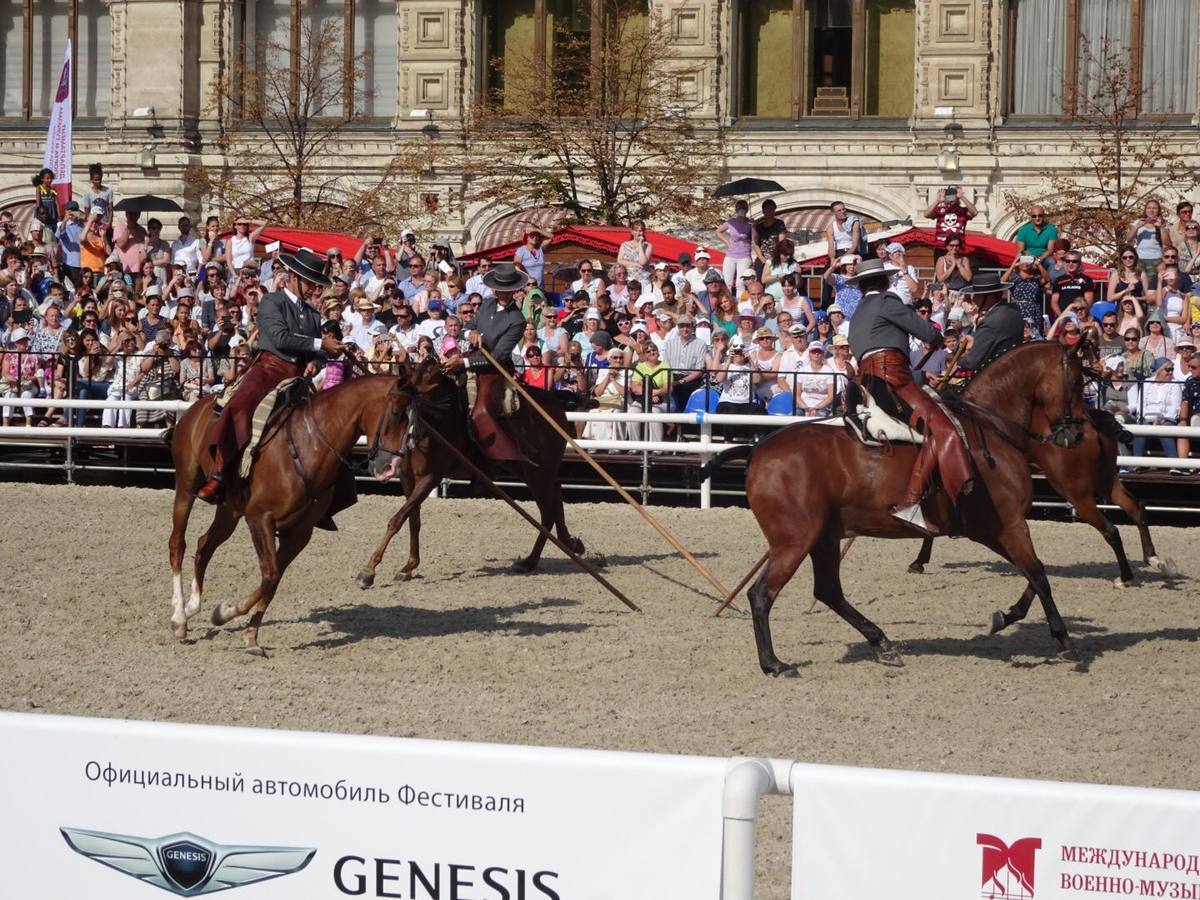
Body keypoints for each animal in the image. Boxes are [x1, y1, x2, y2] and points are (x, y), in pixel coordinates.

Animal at [166, 374, 412, 657]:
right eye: (395, 412)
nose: (391, 467)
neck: (309, 446)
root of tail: (197, 408)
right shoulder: (259, 518)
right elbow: (270, 575)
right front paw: (225, 613)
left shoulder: (299, 533)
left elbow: (272, 581)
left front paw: (248, 634)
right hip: (186, 486)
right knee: (178, 544)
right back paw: (179, 618)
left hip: (229, 509)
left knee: (204, 545)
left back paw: (192, 606)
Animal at [350, 360, 585, 592]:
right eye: (383, 408)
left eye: (398, 411)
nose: (382, 464)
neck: (435, 421)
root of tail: (557, 406)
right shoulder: (408, 478)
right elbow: (412, 519)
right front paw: (409, 566)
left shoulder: (430, 477)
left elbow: (397, 519)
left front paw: (368, 571)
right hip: (528, 470)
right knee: (556, 494)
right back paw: (568, 543)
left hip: (538, 473)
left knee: (548, 511)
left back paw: (531, 560)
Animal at [700, 343, 1099, 676]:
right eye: (1077, 381)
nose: (1076, 435)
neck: (989, 430)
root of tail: (757, 451)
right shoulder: (1008, 526)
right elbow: (1039, 575)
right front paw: (1062, 639)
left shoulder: (997, 530)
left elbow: (1034, 573)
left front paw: (1008, 617)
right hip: (794, 542)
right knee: (762, 595)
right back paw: (774, 663)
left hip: (823, 538)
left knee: (828, 591)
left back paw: (881, 642)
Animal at [907, 408, 1171, 585]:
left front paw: (918, 561)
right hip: (1105, 481)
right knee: (1135, 507)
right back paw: (1153, 558)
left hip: (1076, 492)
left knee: (1110, 529)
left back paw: (1126, 576)